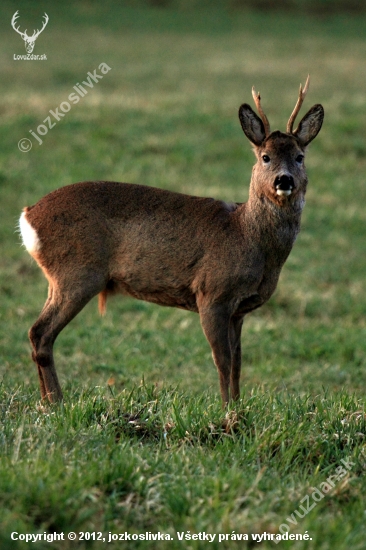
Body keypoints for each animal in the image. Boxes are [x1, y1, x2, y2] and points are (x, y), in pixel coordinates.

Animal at [19, 77, 324, 406]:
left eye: (300, 157)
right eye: (265, 157)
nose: (284, 180)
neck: (247, 235)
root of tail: (28, 215)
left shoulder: (239, 310)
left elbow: (238, 363)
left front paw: (239, 405)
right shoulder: (212, 293)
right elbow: (223, 360)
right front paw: (227, 409)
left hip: (59, 278)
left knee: (37, 333)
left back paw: (47, 402)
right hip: (77, 272)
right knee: (41, 332)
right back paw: (56, 402)